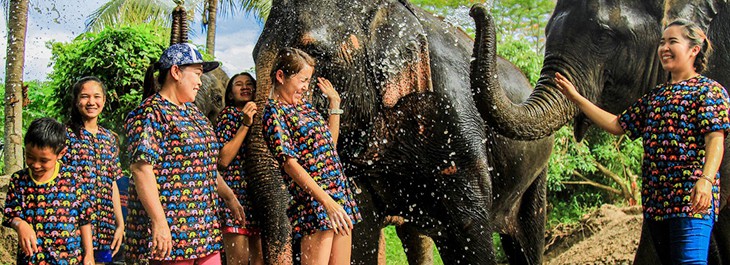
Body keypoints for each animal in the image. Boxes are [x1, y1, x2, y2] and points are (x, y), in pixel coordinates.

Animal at [250, 0, 552, 264]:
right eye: (254, 56)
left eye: (316, 52)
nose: (475, 10)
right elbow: (360, 235)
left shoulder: (456, 117)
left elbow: (468, 229)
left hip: (537, 170)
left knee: (526, 237)